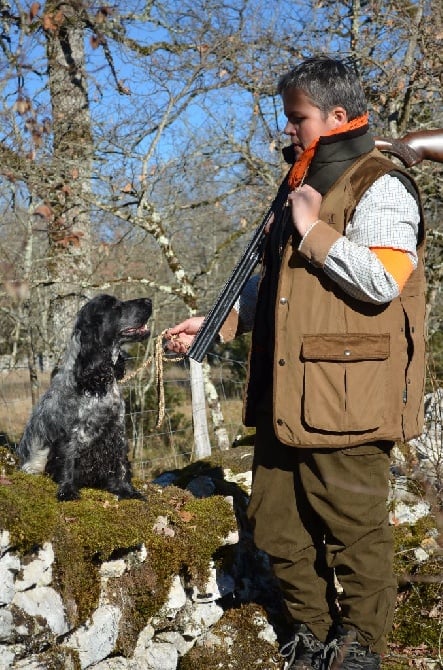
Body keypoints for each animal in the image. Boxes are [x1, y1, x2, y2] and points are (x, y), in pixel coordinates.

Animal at [16, 296, 153, 504]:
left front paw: (127, 491)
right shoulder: (71, 434)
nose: (149, 300)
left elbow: (121, 464)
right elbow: (68, 462)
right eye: (115, 306)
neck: (97, 384)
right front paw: (67, 492)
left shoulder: (117, 430)